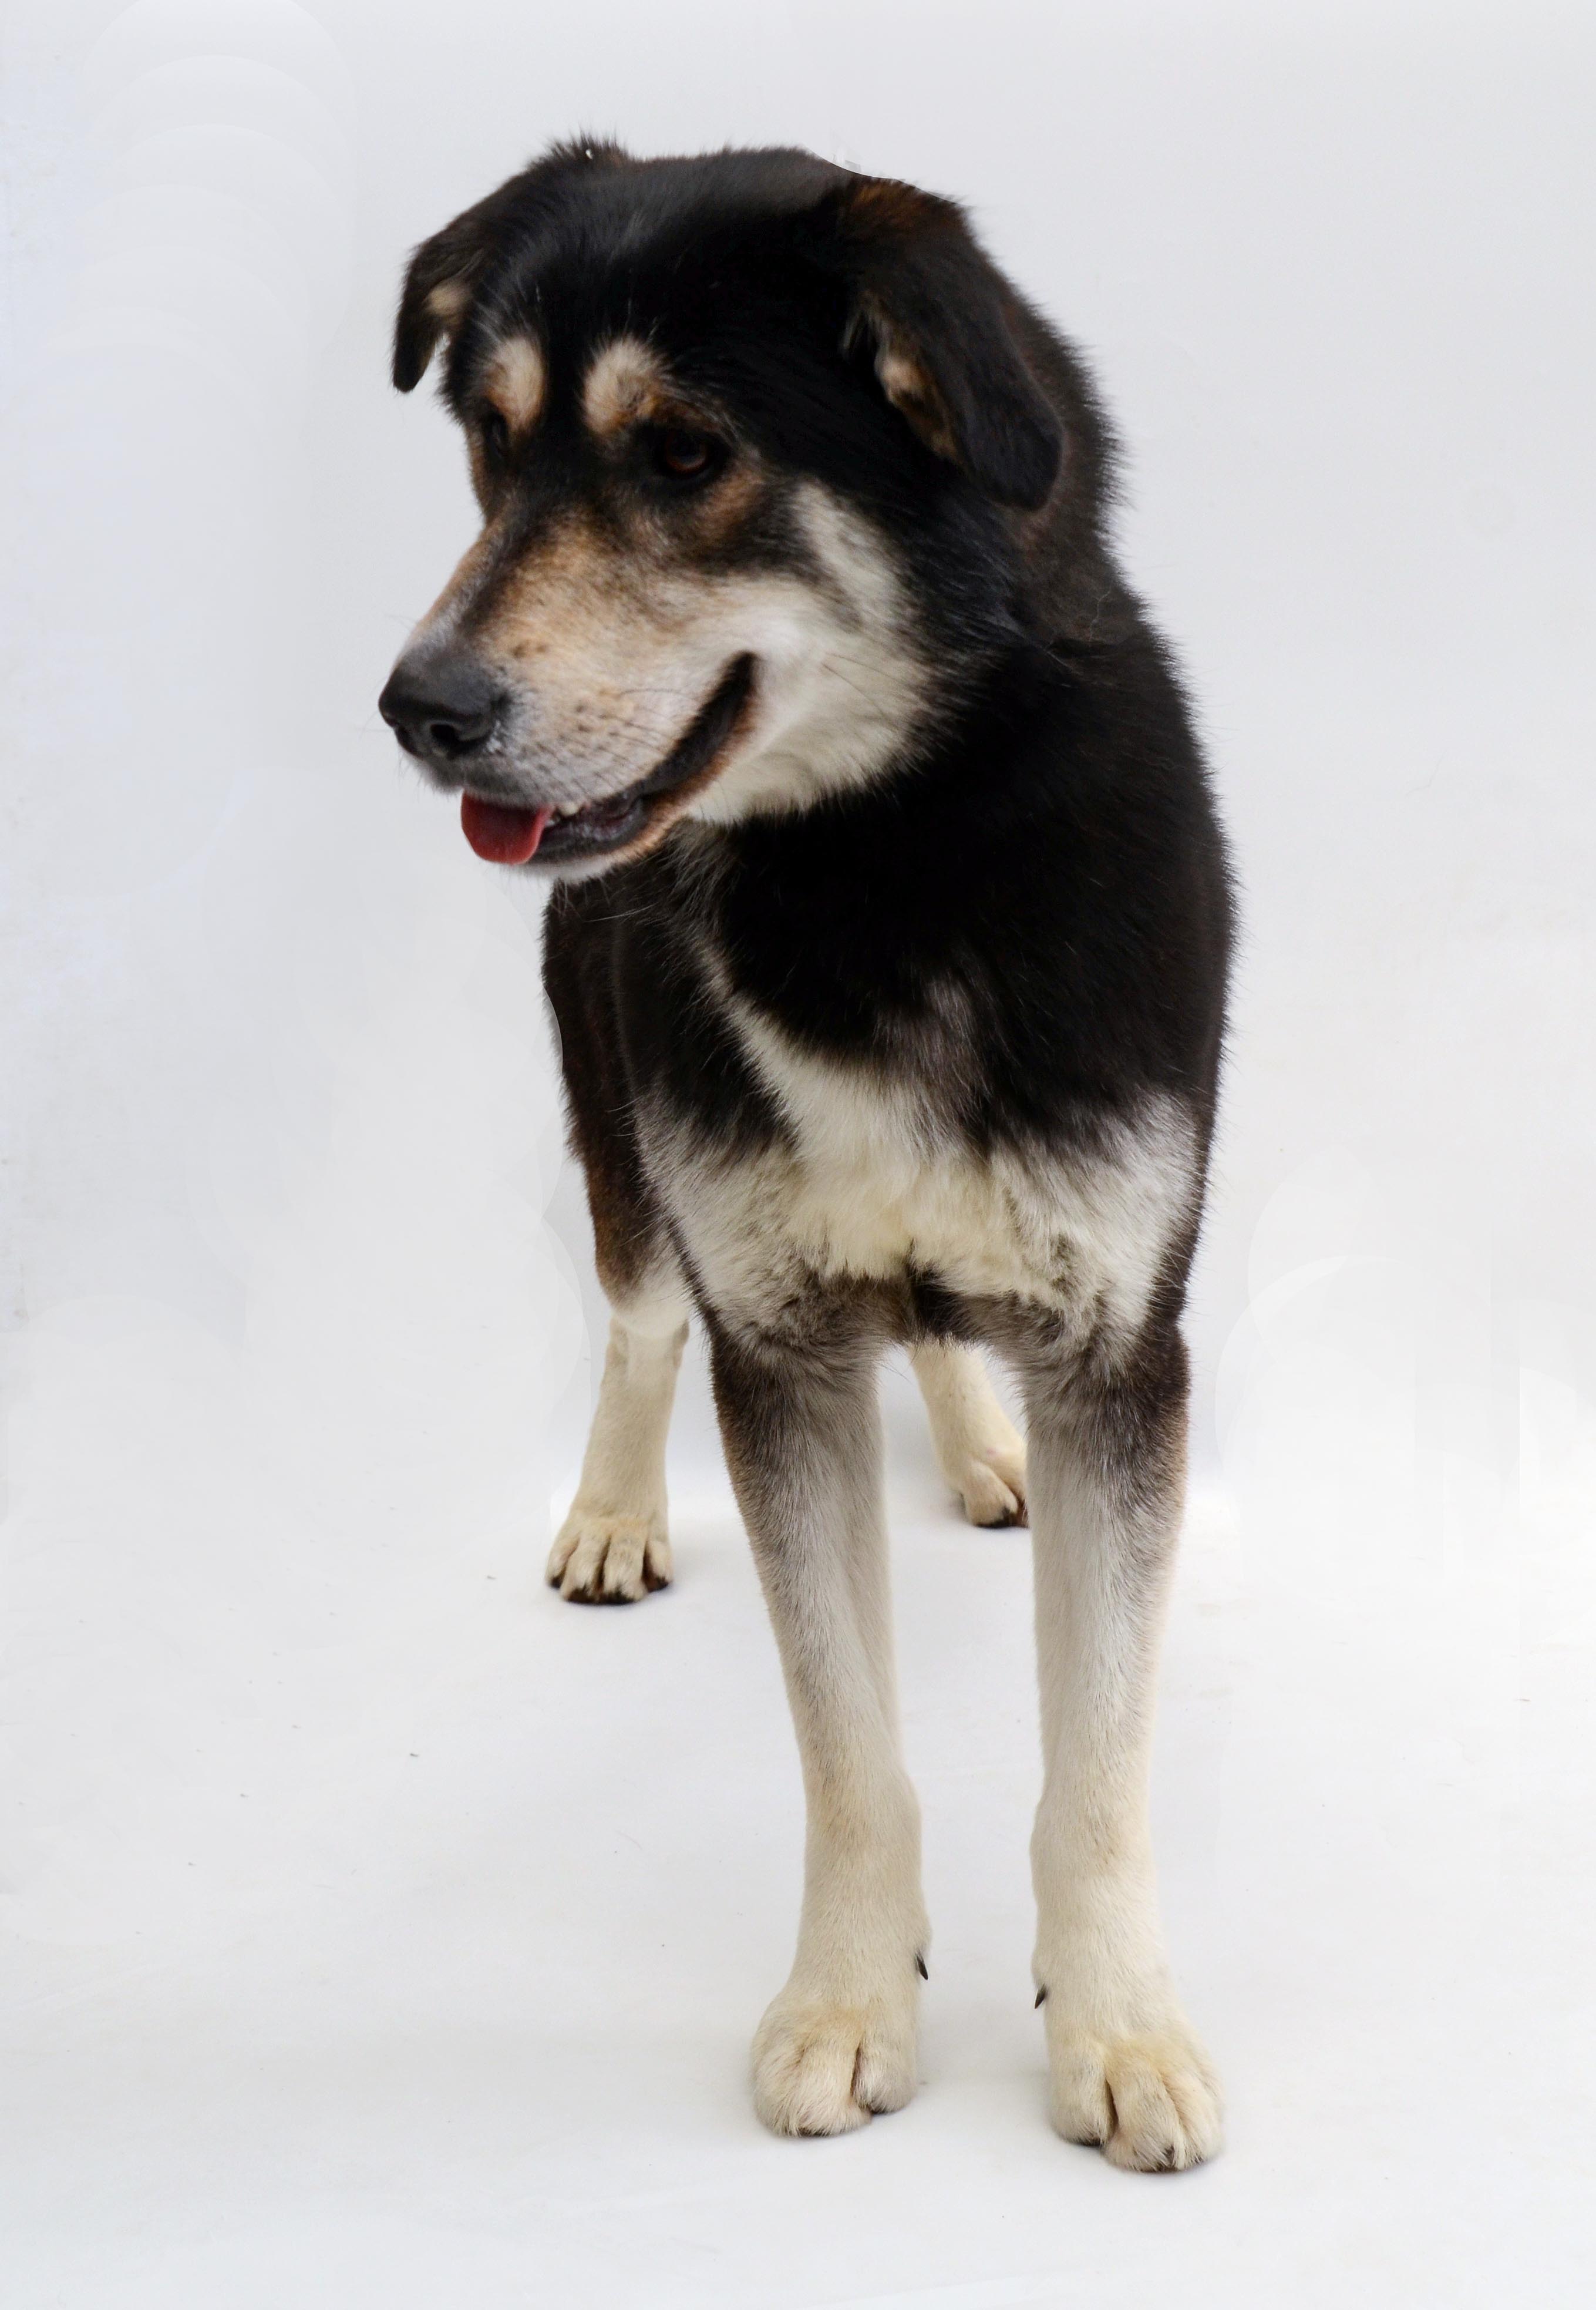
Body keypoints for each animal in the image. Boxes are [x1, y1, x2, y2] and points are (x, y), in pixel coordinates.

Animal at [379, 141, 1233, 2170]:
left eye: (684, 453)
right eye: (490, 441)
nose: (420, 709)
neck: (876, 861)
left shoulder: (1125, 1347)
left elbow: (1095, 1764)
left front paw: (1119, 2024)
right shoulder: (776, 1346)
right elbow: (848, 1748)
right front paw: (849, 2002)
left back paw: (984, 1452)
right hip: (618, 1117)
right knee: (633, 1312)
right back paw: (615, 1510)